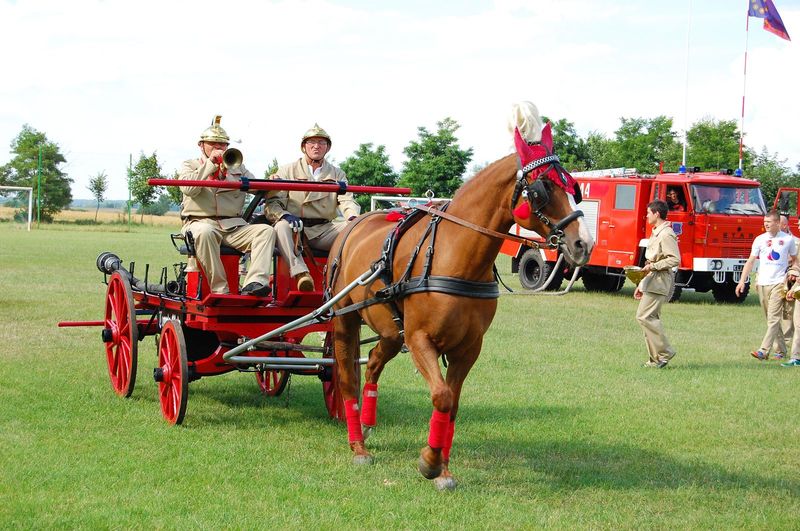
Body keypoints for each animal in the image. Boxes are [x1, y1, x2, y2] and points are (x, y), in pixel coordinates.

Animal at [324, 101, 592, 490]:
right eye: (542, 189)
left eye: (573, 186)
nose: (583, 243)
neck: (458, 257)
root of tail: (352, 225)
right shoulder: (420, 339)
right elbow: (442, 396)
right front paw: (429, 462)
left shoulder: (468, 347)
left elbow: (453, 404)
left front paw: (442, 468)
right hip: (346, 320)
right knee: (346, 377)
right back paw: (358, 445)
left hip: (391, 329)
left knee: (372, 362)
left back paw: (368, 423)